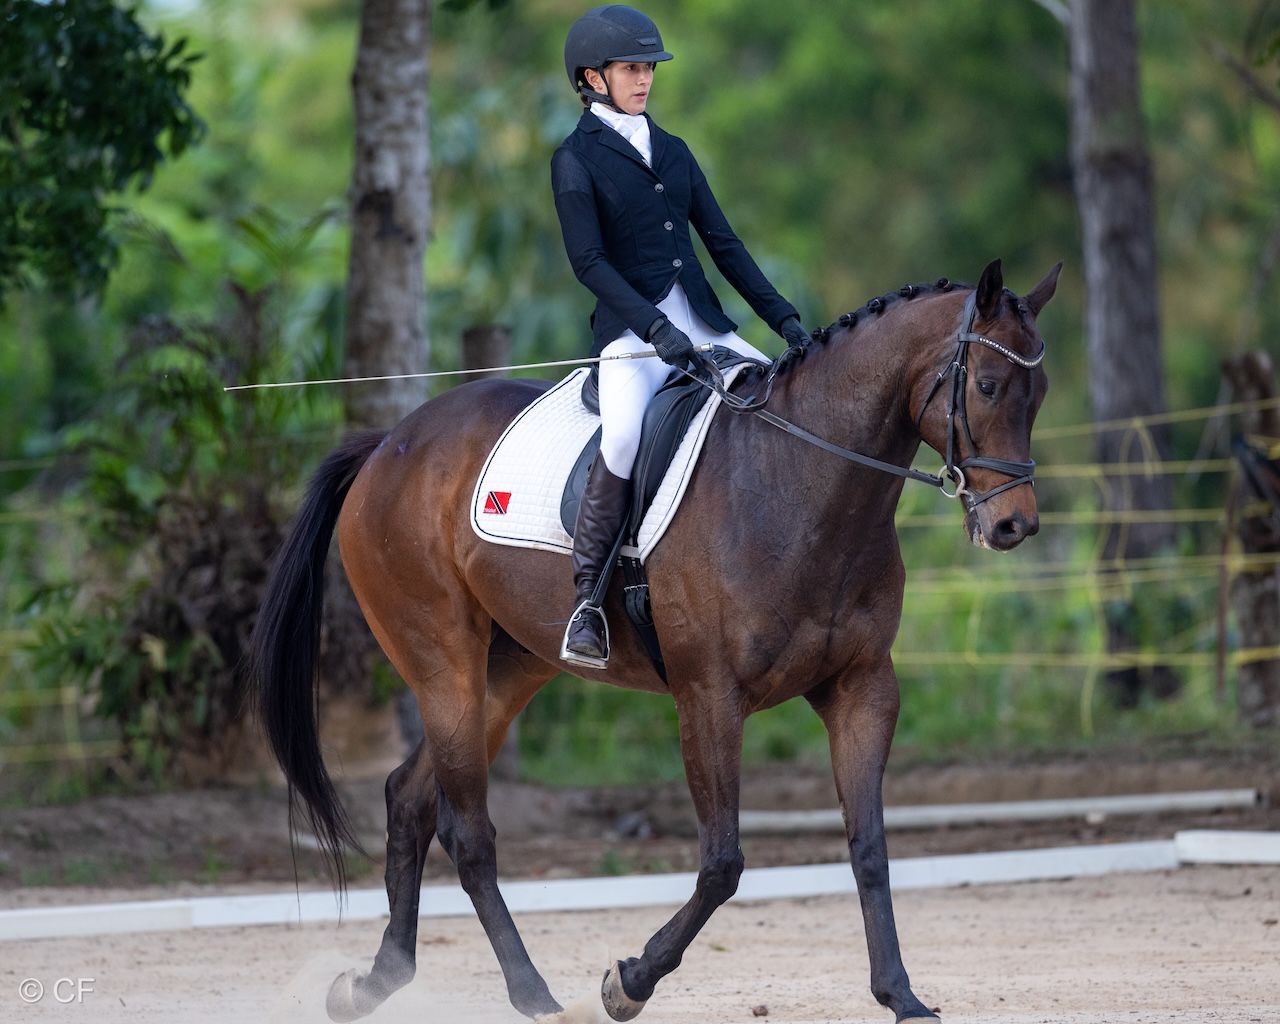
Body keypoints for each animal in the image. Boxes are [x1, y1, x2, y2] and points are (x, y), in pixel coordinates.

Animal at [250, 257, 1060, 1023]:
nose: (1013, 526)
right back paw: (534, 995)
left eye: (1040, 392)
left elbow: (869, 846)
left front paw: (901, 995)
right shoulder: (709, 697)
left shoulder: (862, 690)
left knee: (411, 799)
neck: (798, 483)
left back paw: (376, 983)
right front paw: (627, 983)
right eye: (988, 385)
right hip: (442, 663)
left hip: (510, 670)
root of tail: (389, 443)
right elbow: (723, 862)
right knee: (467, 828)